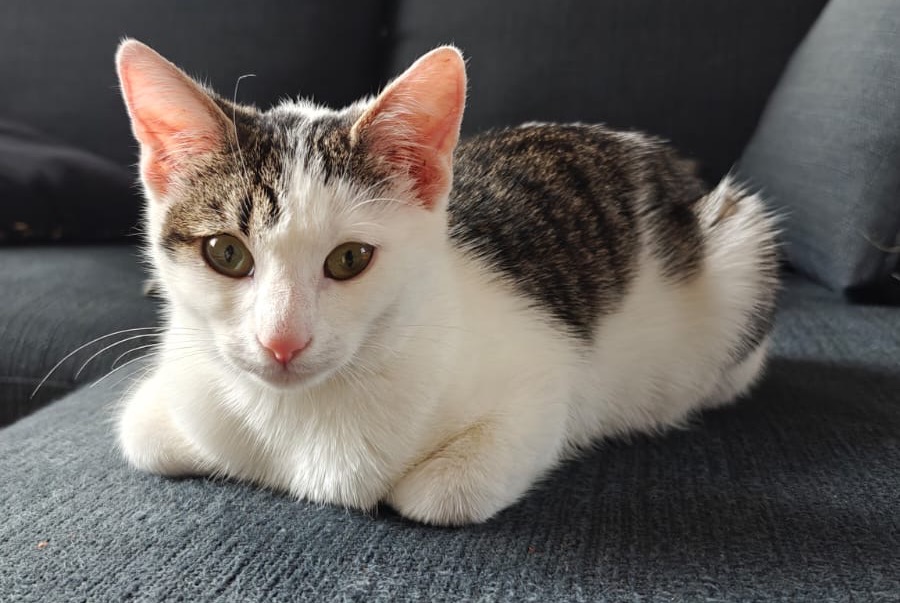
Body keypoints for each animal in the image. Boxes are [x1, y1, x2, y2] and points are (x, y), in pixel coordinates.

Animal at [116, 40, 780, 528]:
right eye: (226, 252)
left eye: (350, 258)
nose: (282, 343)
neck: (297, 416)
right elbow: (142, 433)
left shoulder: (550, 381)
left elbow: (442, 496)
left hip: (741, 247)